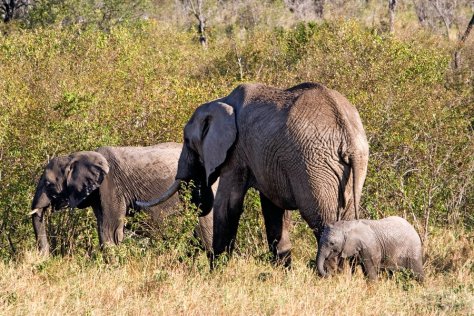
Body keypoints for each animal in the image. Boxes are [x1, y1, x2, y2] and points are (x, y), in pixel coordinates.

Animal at [135, 82, 368, 266]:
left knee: (323, 222)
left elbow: (227, 205)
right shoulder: (268, 159)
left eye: (186, 140)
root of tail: (347, 132)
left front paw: (215, 272)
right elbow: (273, 209)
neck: (222, 102)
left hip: (315, 165)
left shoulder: (236, 152)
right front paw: (282, 271)